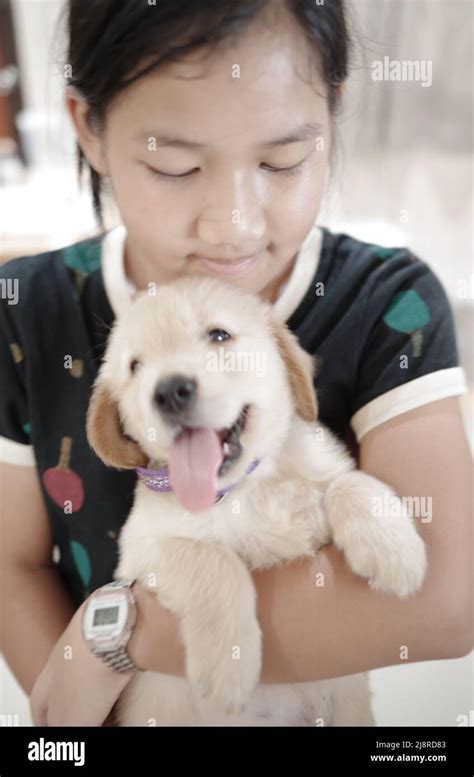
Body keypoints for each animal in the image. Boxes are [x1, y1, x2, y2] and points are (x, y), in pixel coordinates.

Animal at [87, 276, 428, 724]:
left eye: (218, 335)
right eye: (135, 367)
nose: (169, 391)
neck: (246, 487)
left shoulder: (326, 471)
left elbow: (349, 483)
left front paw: (394, 551)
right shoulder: (140, 552)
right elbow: (211, 559)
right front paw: (227, 665)